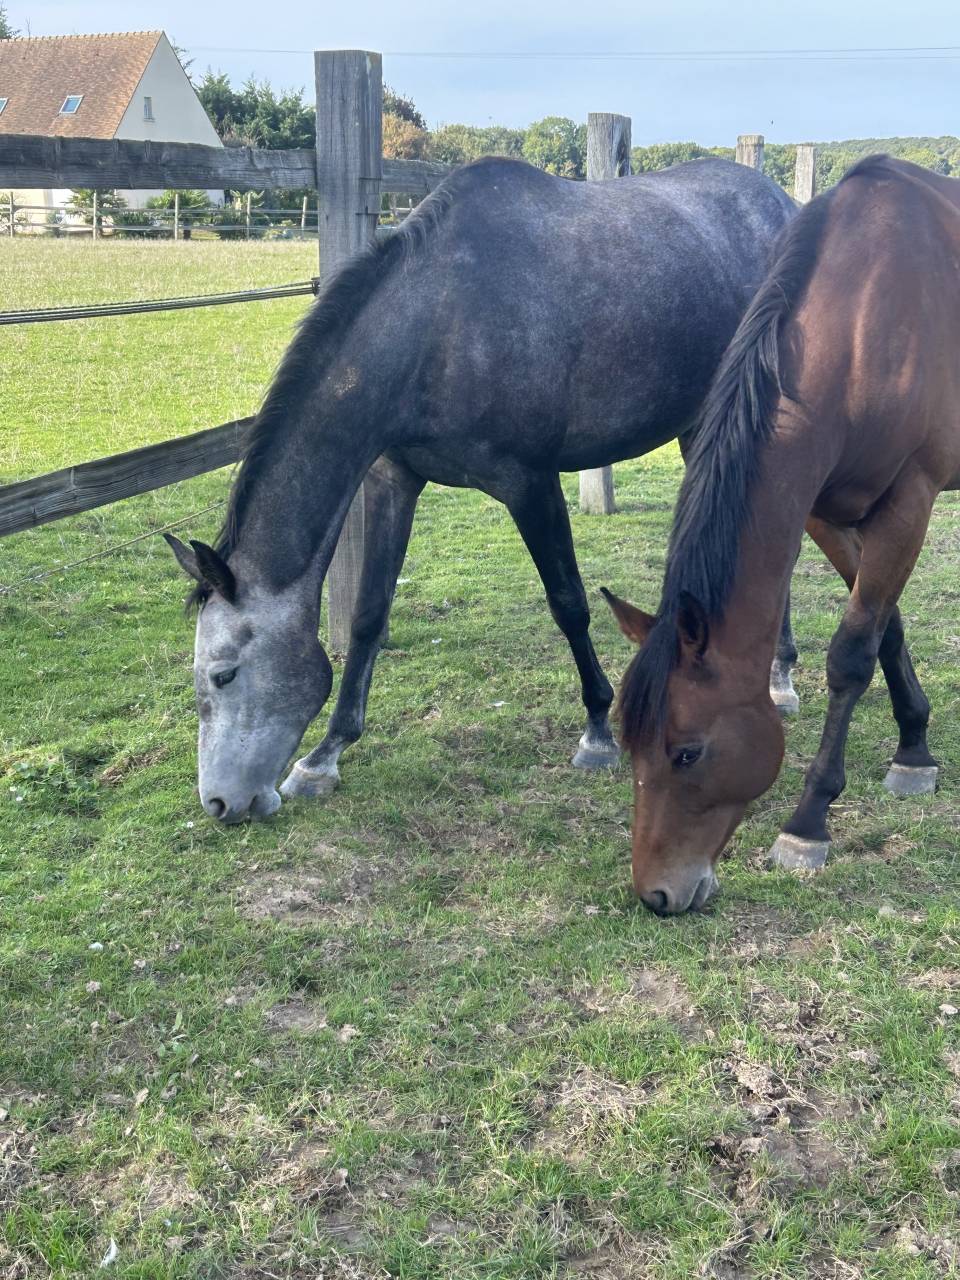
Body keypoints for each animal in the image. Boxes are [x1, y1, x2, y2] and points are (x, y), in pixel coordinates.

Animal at [164, 155, 795, 824]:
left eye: (224, 675)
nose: (219, 804)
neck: (440, 321)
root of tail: (782, 202)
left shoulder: (530, 483)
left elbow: (569, 603)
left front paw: (598, 730)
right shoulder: (394, 482)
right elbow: (368, 615)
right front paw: (325, 753)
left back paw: (780, 678)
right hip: (701, 424)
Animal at [603, 155, 960, 915]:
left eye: (687, 752)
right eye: (628, 745)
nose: (655, 895)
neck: (867, 324)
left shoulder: (908, 502)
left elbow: (852, 653)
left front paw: (809, 820)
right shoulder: (824, 510)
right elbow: (885, 624)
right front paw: (914, 744)